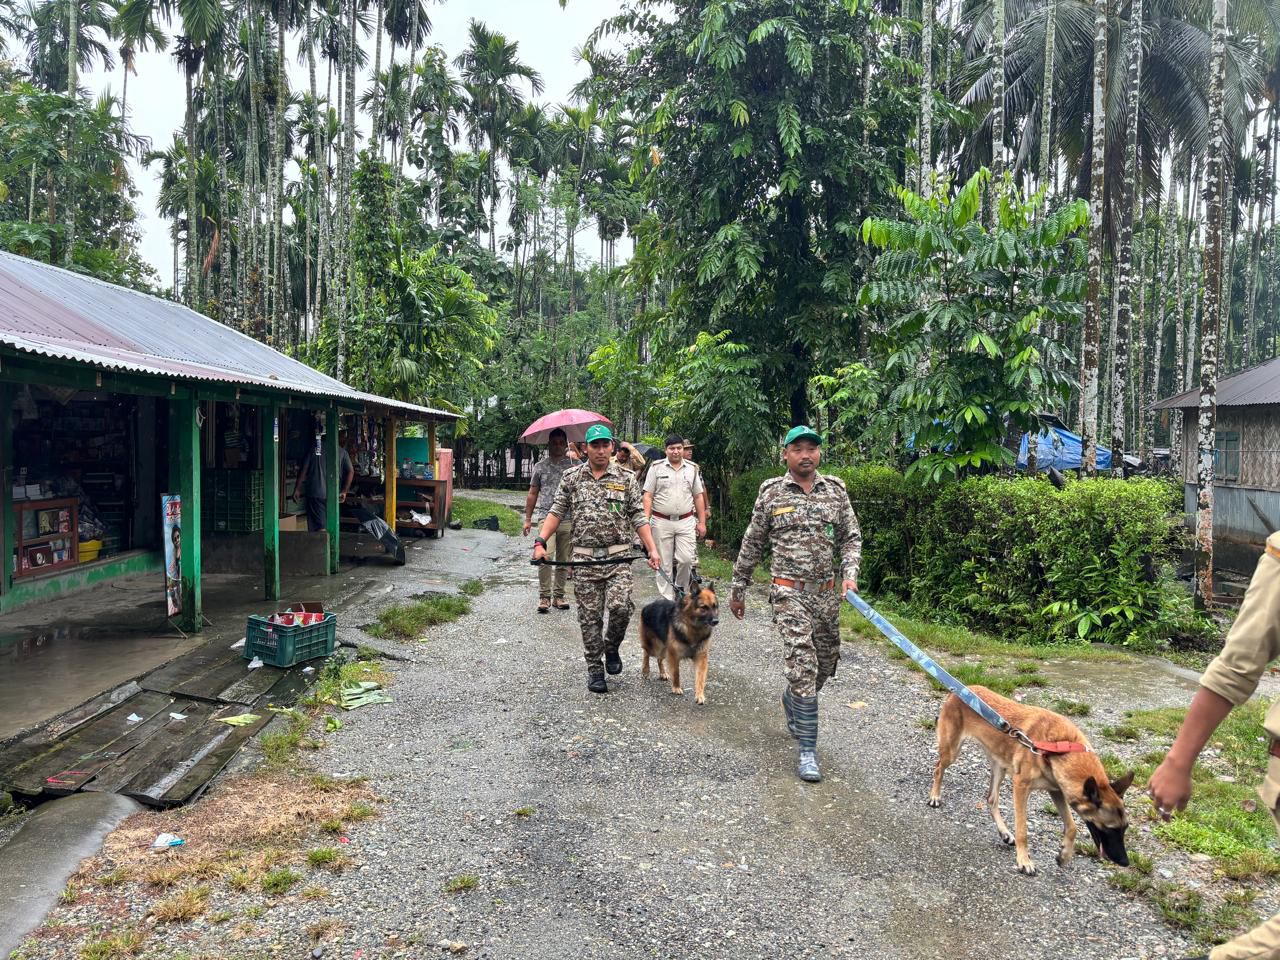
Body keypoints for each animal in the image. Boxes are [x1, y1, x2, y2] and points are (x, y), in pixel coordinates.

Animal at [640, 578, 721, 706]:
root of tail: (648, 605)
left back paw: (663, 673)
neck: (693, 627)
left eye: (714, 606)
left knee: (659, 659)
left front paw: (700, 695)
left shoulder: (701, 657)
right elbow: (676, 673)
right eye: (703, 607)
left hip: (664, 649)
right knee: (646, 653)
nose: (716, 621)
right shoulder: (674, 655)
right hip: (656, 647)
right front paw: (676, 688)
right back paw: (645, 670)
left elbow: (700, 678)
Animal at [926, 686, 1136, 880]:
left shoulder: (1057, 791)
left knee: (991, 798)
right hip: (952, 751)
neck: (1062, 746)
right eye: (1110, 828)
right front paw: (1024, 861)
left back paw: (1004, 833)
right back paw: (935, 796)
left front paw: (1065, 855)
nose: (1125, 862)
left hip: (998, 765)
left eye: (1125, 827)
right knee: (938, 769)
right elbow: (1022, 830)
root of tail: (958, 691)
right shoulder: (1021, 787)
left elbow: (1072, 827)